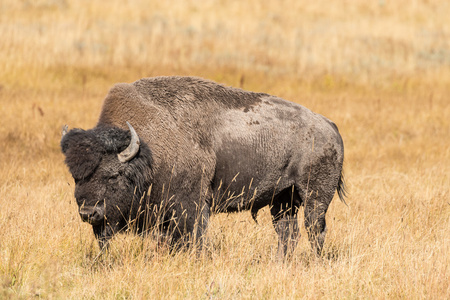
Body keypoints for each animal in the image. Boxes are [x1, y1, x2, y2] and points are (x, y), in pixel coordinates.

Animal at [61, 76, 346, 256]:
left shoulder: (191, 204)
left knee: (315, 229)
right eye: (76, 177)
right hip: (282, 200)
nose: (88, 213)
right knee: (288, 234)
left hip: (314, 196)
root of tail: (329, 125)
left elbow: (193, 237)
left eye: (113, 175)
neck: (147, 150)